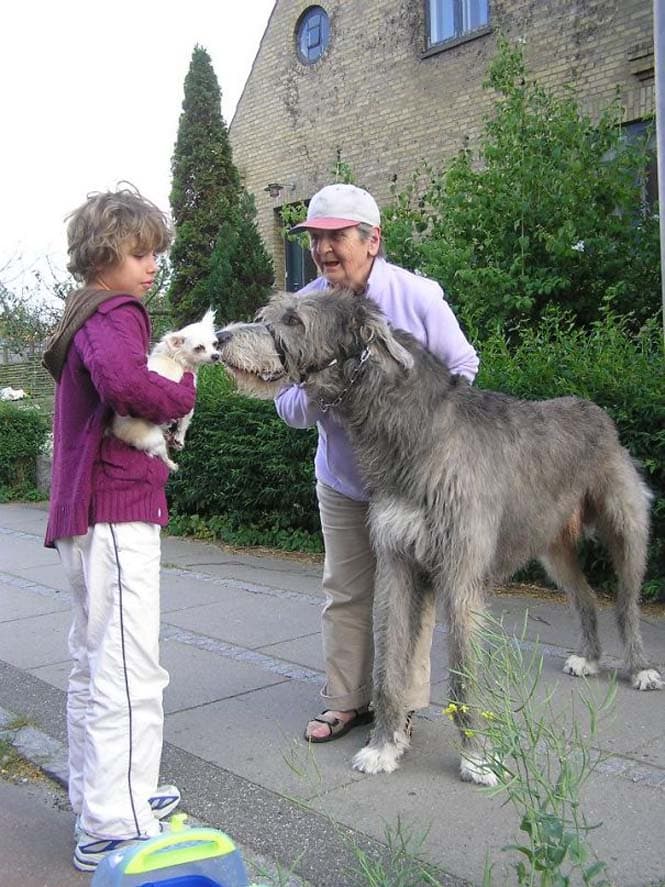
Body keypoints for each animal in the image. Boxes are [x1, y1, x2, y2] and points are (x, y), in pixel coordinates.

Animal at [112, 308, 218, 472]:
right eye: (199, 348)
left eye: (215, 344)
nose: (216, 356)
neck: (174, 357)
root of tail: (118, 434)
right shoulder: (187, 400)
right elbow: (183, 425)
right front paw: (179, 440)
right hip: (155, 440)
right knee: (162, 457)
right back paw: (173, 465)